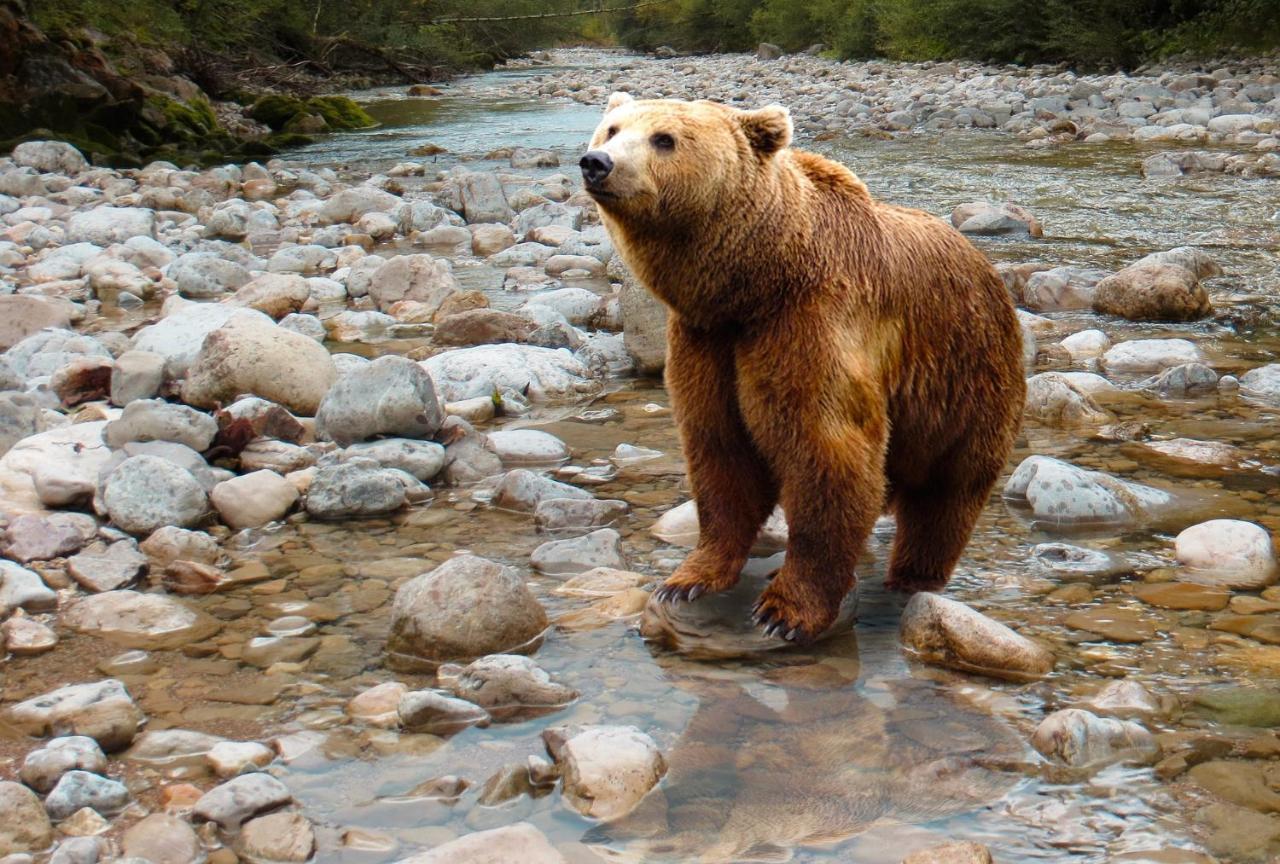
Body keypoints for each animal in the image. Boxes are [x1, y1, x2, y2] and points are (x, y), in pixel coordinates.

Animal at [586, 92, 1024, 642]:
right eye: (611, 129)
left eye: (663, 139)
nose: (597, 163)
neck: (756, 282)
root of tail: (988, 267)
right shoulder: (708, 342)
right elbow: (720, 452)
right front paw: (687, 579)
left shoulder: (809, 323)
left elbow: (827, 452)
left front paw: (785, 610)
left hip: (965, 377)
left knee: (946, 493)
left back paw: (912, 575)